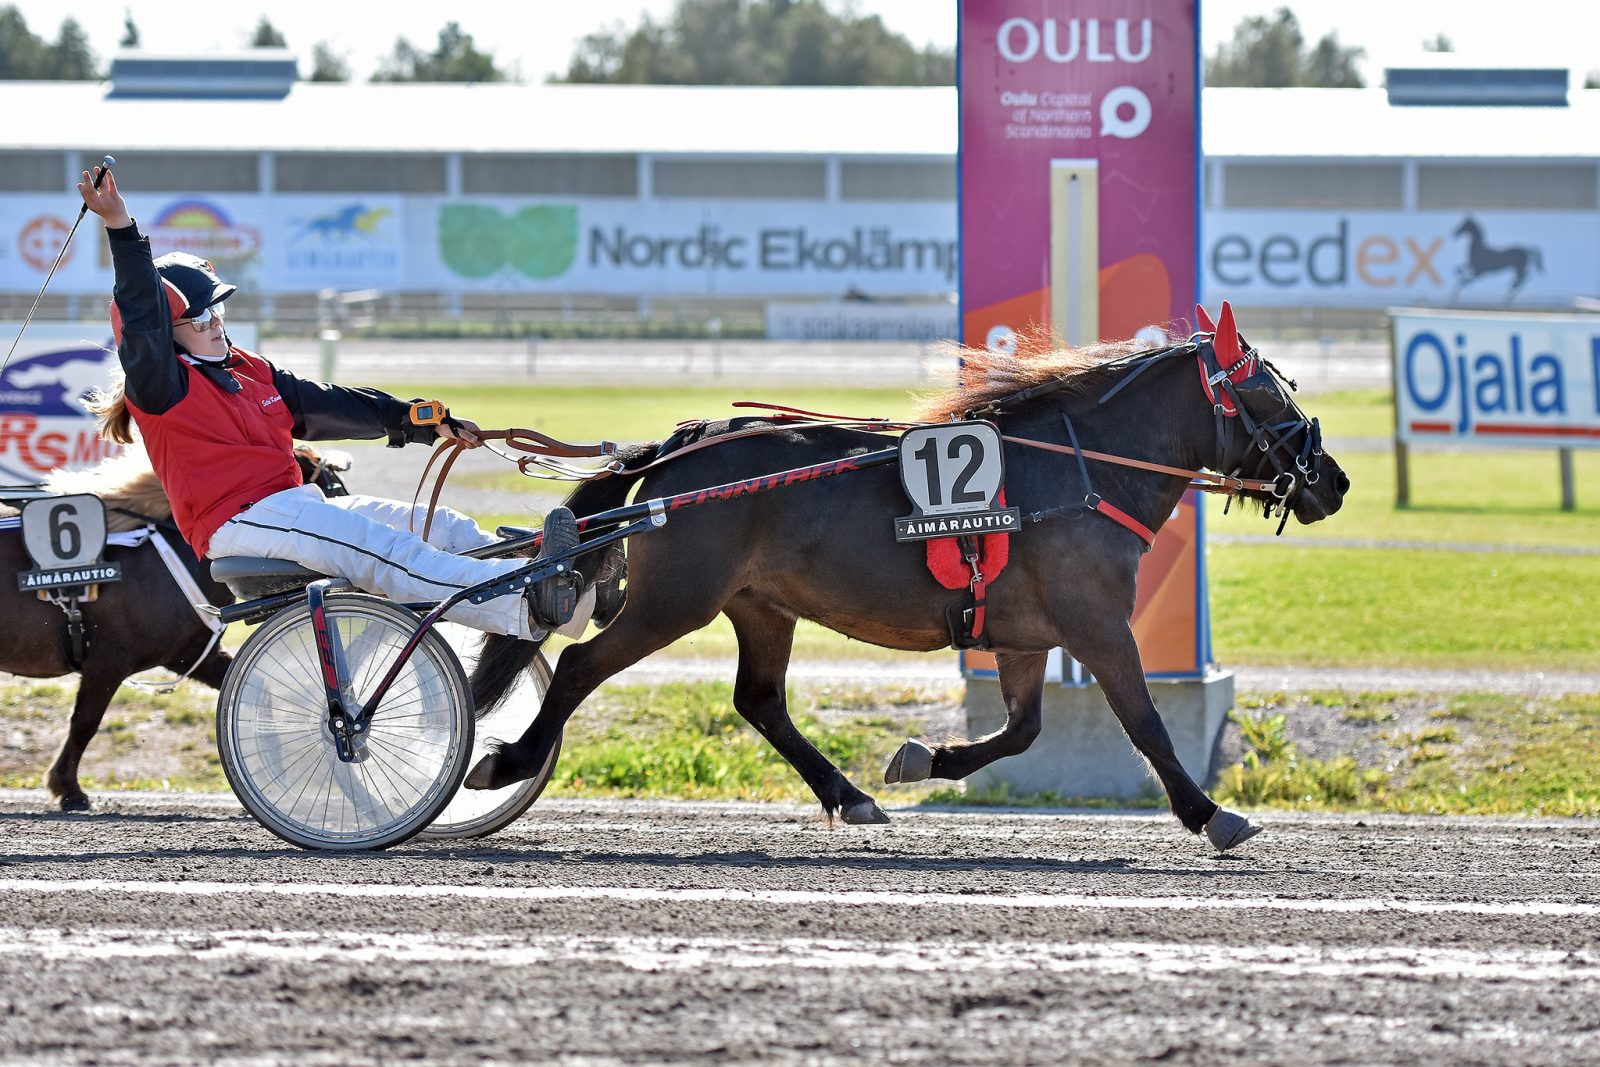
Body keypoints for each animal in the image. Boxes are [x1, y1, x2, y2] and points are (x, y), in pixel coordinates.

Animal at [3, 444, 348, 809]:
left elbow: (257, 694)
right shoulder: (107, 662)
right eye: (333, 488)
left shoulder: (190, 654)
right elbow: (85, 722)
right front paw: (68, 788)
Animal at [467, 307, 1350, 851]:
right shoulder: (1097, 623)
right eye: (1267, 390)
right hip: (676, 599)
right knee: (580, 664)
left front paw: (923, 760)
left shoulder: (1028, 635)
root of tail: (681, 448)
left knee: (760, 699)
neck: (1082, 467)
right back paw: (508, 761)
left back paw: (849, 793)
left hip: (761, 605)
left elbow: (1023, 730)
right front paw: (1212, 813)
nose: (1333, 480)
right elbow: (1146, 724)